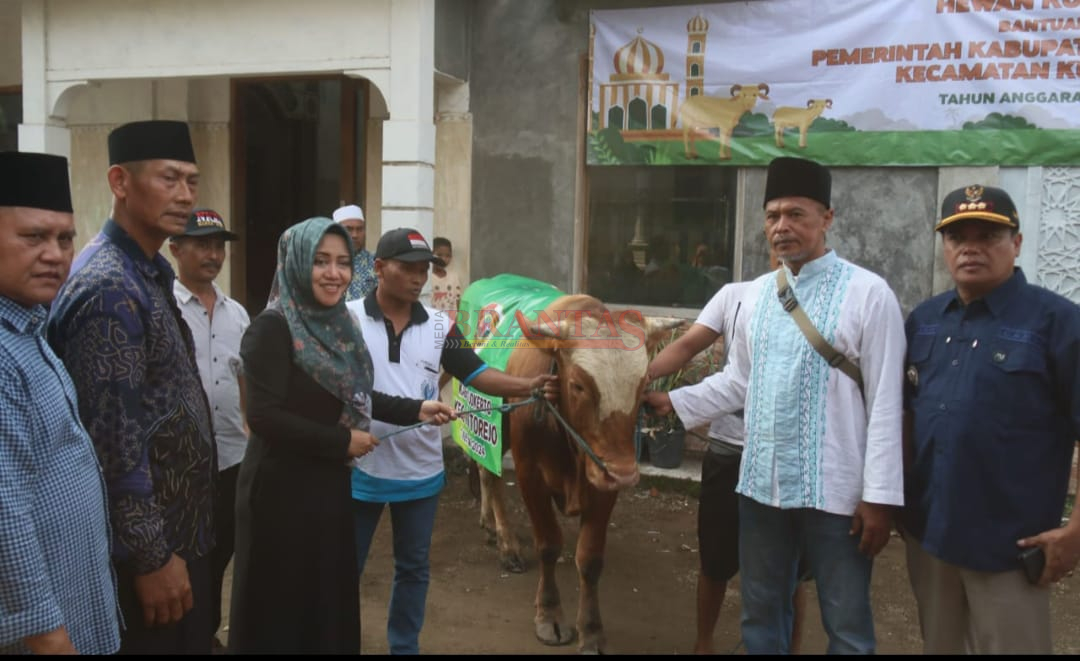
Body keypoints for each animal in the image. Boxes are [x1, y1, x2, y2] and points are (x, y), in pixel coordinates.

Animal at [477, 295, 669, 652]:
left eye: (644, 383)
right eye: (578, 385)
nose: (625, 474)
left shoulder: (605, 480)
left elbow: (590, 560)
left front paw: (591, 630)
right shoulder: (530, 476)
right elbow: (549, 544)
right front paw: (550, 615)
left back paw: (488, 524)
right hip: (494, 425)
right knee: (490, 475)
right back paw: (507, 543)